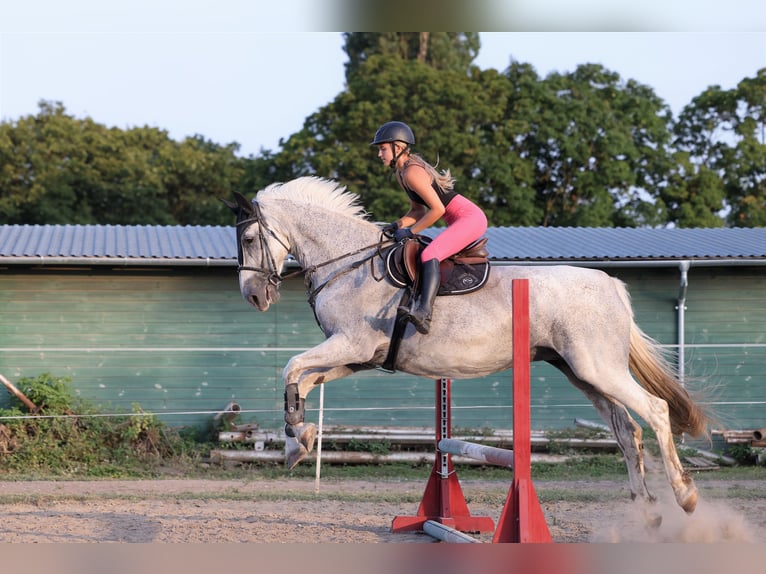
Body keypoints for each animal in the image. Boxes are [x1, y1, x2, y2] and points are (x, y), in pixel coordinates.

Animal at [226, 178, 708, 520]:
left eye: (248, 240)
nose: (254, 297)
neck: (348, 262)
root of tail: (611, 284)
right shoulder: (358, 356)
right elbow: (303, 379)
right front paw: (298, 443)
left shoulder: (349, 342)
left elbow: (291, 367)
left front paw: (296, 436)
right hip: (581, 372)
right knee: (626, 430)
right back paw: (645, 509)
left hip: (597, 367)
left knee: (656, 411)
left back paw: (684, 495)